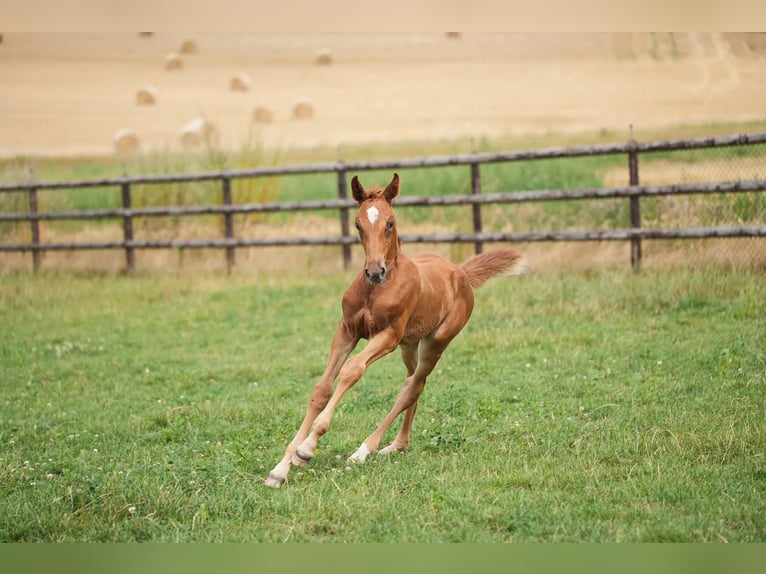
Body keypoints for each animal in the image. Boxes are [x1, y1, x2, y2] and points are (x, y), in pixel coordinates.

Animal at [265, 172, 523, 488]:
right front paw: (281, 468)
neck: (375, 290)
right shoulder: (347, 331)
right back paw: (397, 445)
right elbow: (322, 388)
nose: (375, 271)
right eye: (358, 224)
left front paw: (305, 450)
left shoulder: (387, 336)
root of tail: (460, 272)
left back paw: (364, 450)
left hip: (436, 342)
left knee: (411, 387)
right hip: (410, 345)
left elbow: (351, 370)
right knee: (415, 383)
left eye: (390, 222)